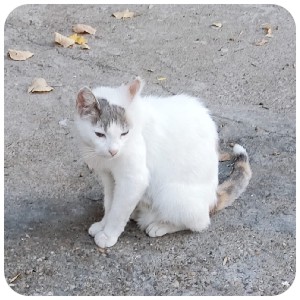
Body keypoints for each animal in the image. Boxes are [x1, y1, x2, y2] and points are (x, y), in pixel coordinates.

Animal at [74, 77, 251, 248]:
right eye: (99, 134)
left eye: (124, 133)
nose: (113, 151)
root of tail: (212, 199)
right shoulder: (109, 176)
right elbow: (110, 203)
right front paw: (103, 224)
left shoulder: (133, 179)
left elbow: (118, 211)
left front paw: (108, 234)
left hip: (171, 194)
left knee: (199, 222)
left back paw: (161, 225)